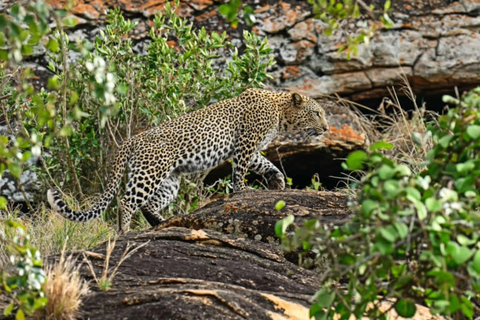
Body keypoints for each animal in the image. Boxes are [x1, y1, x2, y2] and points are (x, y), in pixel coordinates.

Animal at [47, 89, 328, 234]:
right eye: (317, 113)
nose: (326, 128)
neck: (281, 113)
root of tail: (130, 141)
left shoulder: (250, 148)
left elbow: (265, 164)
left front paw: (277, 181)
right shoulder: (246, 143)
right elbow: (240, 171)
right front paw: (242, 190)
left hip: (169, 180)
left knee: (148, 204)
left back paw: (162, 223)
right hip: (149, 172)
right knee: (127, 201)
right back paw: (125, 232)